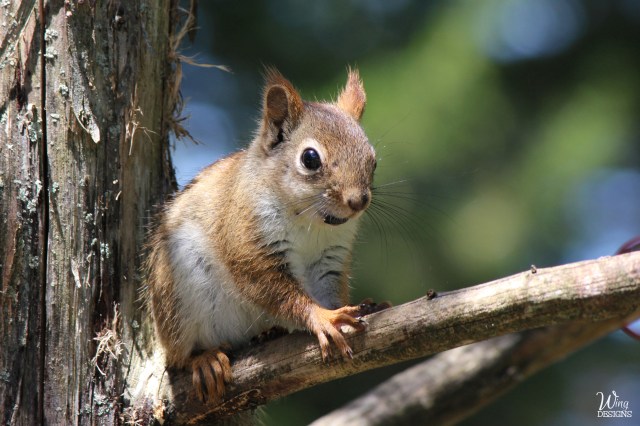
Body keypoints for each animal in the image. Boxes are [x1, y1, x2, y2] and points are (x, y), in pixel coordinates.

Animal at [145, 68, 386, 403]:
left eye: (373, 160)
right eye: (310, 159)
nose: (358, 201)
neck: (313, 223)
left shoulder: (330, 256)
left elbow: (330, 289)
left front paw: (360, 308)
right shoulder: (246, 238)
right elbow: (268, 286)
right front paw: (322, 317)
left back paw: (271, 332)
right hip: (175, 297)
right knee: (178, 358)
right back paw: (203, 360)